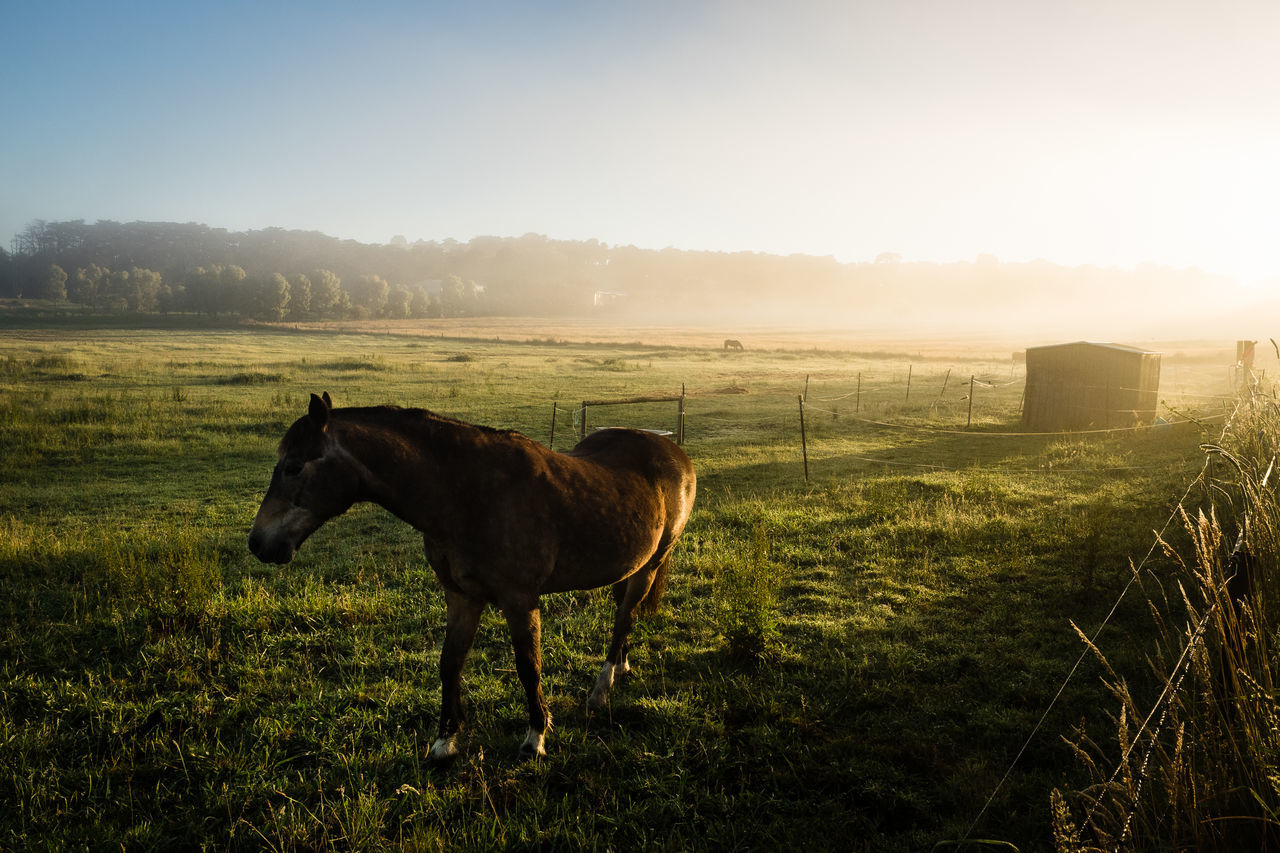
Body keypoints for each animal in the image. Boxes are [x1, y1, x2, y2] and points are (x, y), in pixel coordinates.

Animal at [244, 391, 696, 758]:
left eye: (293, 467)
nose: (258, 542)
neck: (467, 495)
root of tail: (673, 451)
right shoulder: (461, 596)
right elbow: (450, 662)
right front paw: (445, 741)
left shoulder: (519, 600)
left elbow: (528, 665)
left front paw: (536, 737)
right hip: (629, 564)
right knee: (624, 615)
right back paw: (620, 668)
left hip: (652, 562)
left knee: (625, 617)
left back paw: (601, 690)